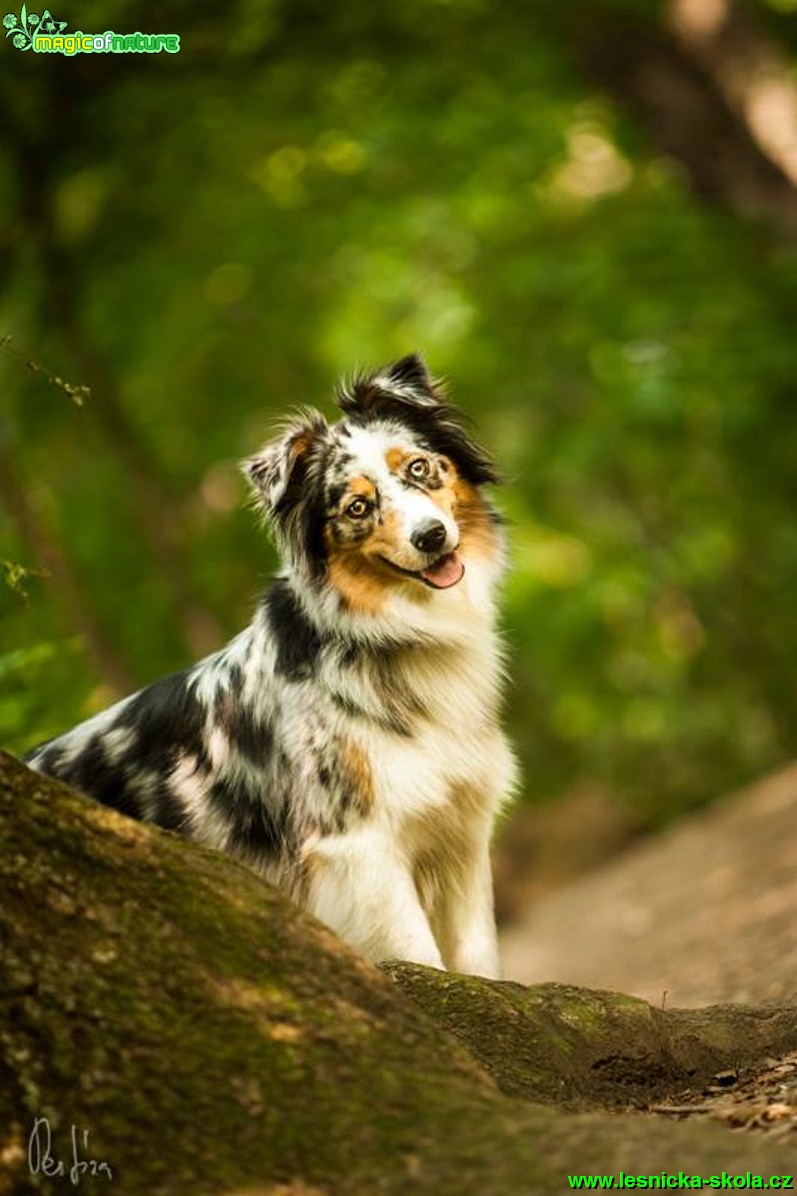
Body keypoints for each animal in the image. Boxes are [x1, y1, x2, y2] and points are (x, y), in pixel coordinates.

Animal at [24, 354, 514, 971]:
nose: (431, 536)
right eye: (357, 507)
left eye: (420, 467)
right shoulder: (359, 847)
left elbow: (479, 962)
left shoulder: (461, 834)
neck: (386, 634)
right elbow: (419, 959)